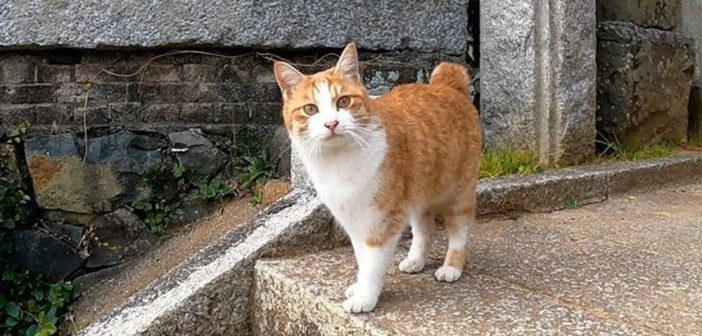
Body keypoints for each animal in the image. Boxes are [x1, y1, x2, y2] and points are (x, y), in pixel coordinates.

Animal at [276, 43, 484, 314]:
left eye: (343, 101)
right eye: (310, 109)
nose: (331, 123)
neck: (339, 161)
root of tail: (447, 85)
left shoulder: (382, 220)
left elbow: (373, 263)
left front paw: (365, 297)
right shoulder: (354, 218)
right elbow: (362, 258)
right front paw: (359, 286)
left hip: (460, 192)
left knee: (459, 231)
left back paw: (451, 267)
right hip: (418, 195)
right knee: (424, 229)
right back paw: (415, 260)